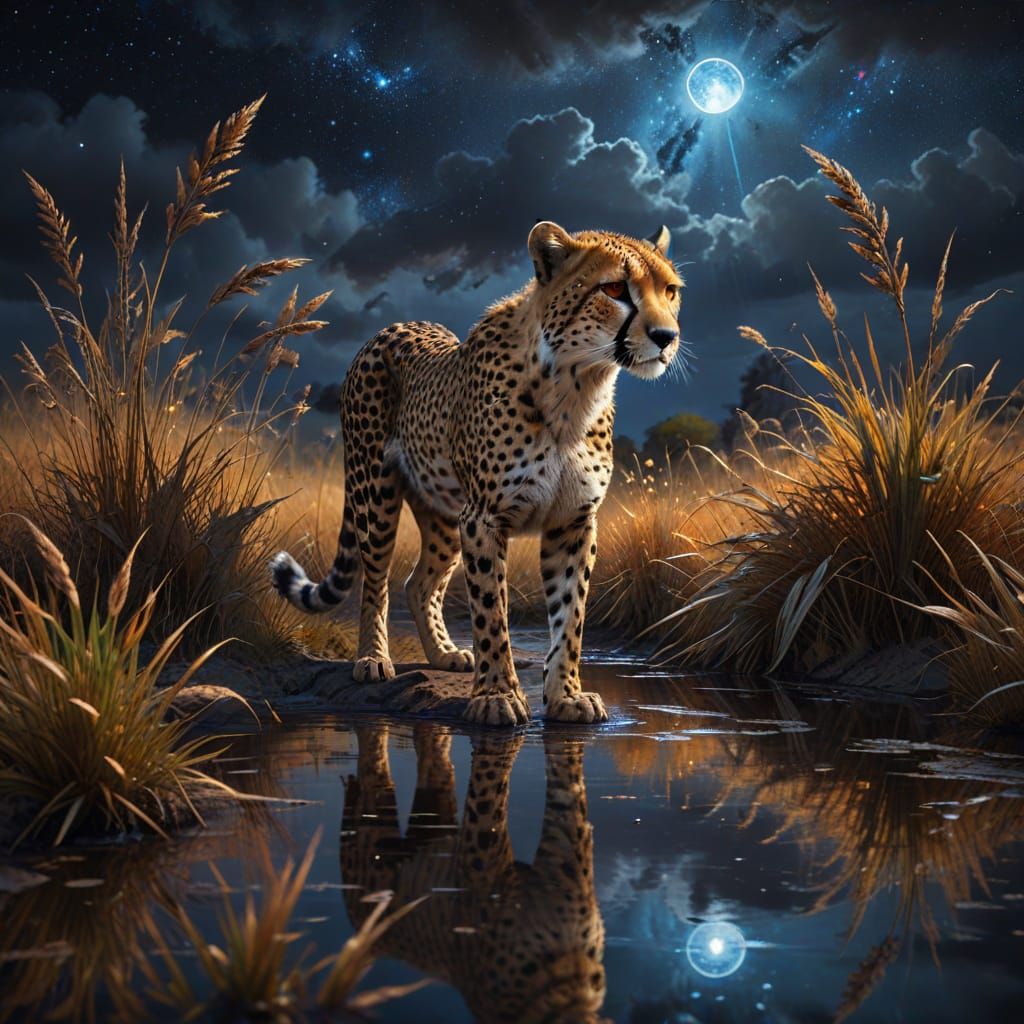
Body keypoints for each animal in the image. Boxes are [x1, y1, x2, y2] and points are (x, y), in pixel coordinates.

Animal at [271, 221, 685, 725]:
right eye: (613, 289)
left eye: (670, 291)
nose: (666, 336)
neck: (576, 386)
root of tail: (395, 326)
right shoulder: (484, 518)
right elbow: (492, 612)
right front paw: (496, 696)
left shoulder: (572, 522)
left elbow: (571, 616)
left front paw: (566, 695)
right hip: (377, 495)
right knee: (376, 581)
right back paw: (372, 659)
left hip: (444, 514)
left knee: (419, 584)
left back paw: (444, 653)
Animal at [340, 723, 607, 1023]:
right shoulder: (485, 873)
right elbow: (489, 797)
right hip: (373, 843)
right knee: (372, 772)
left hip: (435, 815)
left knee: (434, 761)